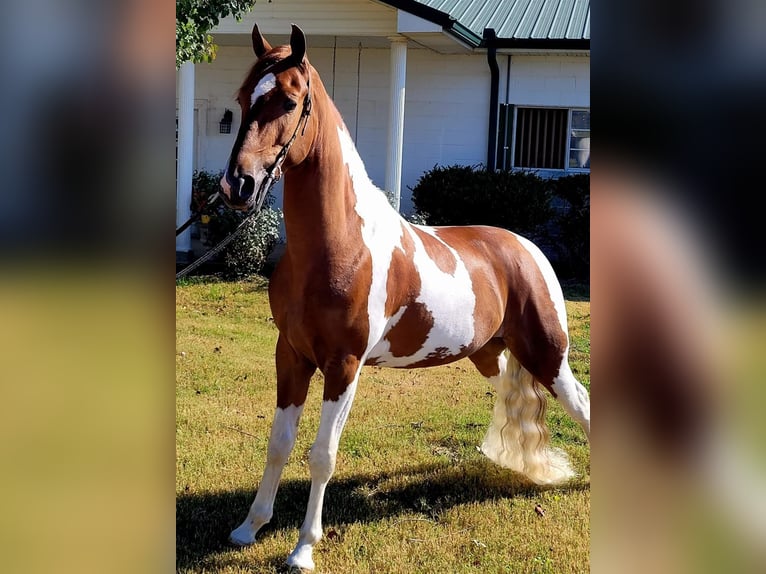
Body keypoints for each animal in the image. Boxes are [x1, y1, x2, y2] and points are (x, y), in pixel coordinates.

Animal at [219, 23, 592, 574]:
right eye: (244, 98)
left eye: (288, 100)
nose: (237, 186)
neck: (340, 245)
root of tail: (526, 248)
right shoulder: (291, 355)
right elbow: (278, 444)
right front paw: (250, 527)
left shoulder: (343, 365)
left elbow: (321, 455)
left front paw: (304, 548)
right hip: (491, 355)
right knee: (511, 395)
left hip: (549, 355)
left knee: (582, 403)